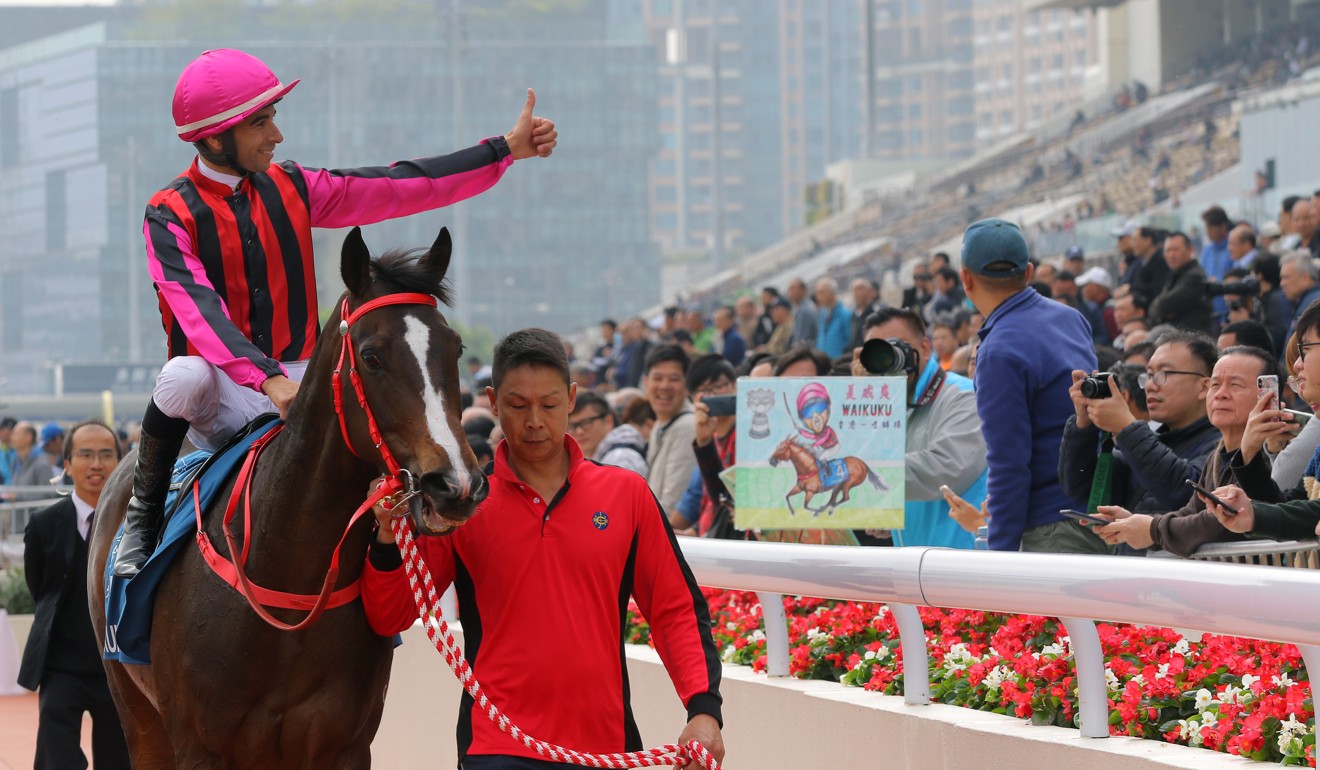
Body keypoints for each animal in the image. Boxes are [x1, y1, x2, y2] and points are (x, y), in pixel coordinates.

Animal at [86, 227, 485, 770]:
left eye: (456, 348)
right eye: (372, 356)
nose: (455, 484)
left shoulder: (344, 746)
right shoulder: (199, 744)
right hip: (136, 711)